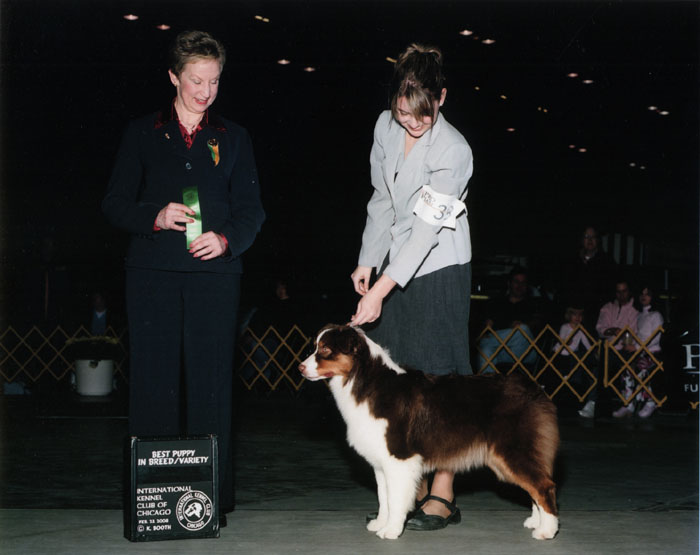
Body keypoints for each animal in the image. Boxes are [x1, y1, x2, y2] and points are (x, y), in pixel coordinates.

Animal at [299, 324, 559, 540]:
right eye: (315, 347)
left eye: (325, 349)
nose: (300, 367)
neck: (363, 382)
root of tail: (535, 389)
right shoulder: (381, 461)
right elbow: (384, 497)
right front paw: (380, 523)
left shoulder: (399, 458)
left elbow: (395, 498)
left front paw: (391, 530)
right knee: (535, 486)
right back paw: (535, 521)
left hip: (513, 450)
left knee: (544, 486)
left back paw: (546, 530)